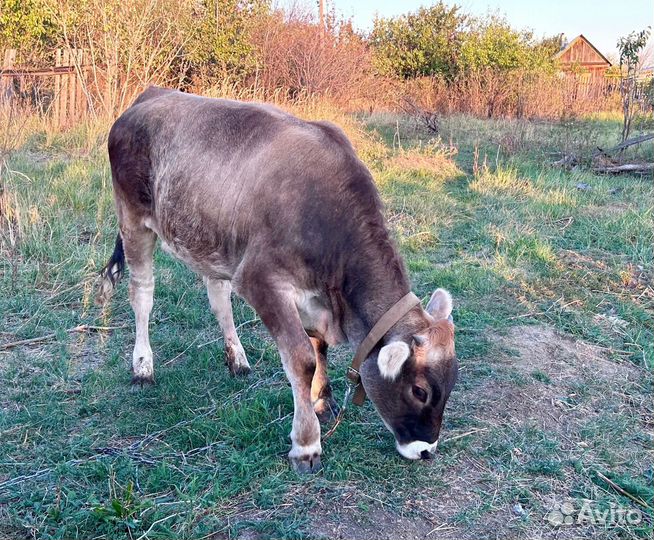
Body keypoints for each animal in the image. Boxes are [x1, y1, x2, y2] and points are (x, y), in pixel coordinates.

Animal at [97, 86, 458, 473]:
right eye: (420, 391)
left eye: (452, 383)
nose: (426, 449)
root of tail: (150, 94)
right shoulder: (260, 279)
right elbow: (302, 358)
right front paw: (307, 444)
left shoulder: (311, 294)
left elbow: (319, 347)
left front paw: (321, 400)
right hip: (133, 219)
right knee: (142, 294)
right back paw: (143, 367)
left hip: (212, 238)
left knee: (218, 297)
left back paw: (237, 359)